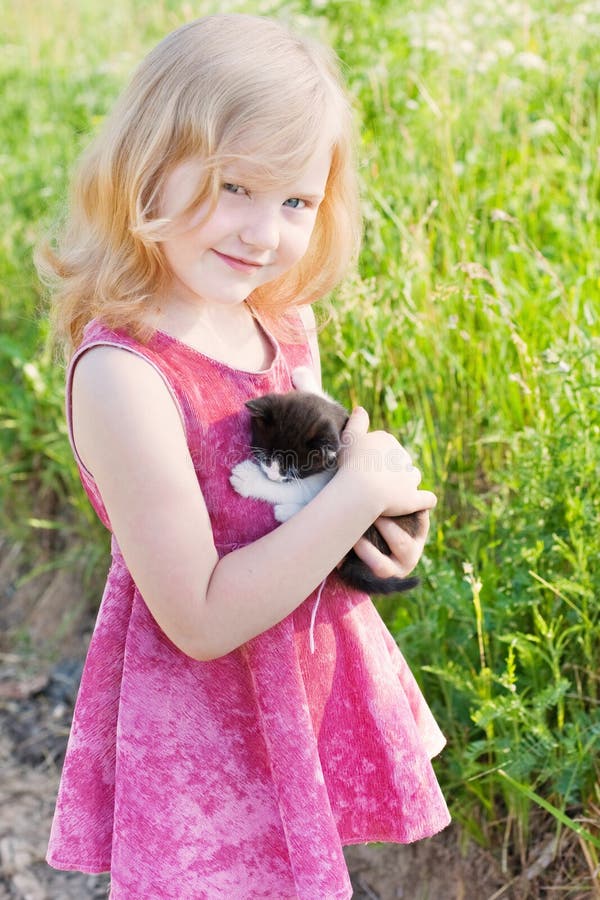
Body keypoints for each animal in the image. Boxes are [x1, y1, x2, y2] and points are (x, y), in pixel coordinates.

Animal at [230, 366, 422, 596]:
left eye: (293, 470)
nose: (272, 475)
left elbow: (294, 489)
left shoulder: (323, 479)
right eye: (266, 456)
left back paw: (285, 511)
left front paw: (248, 478)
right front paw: (305, 377)